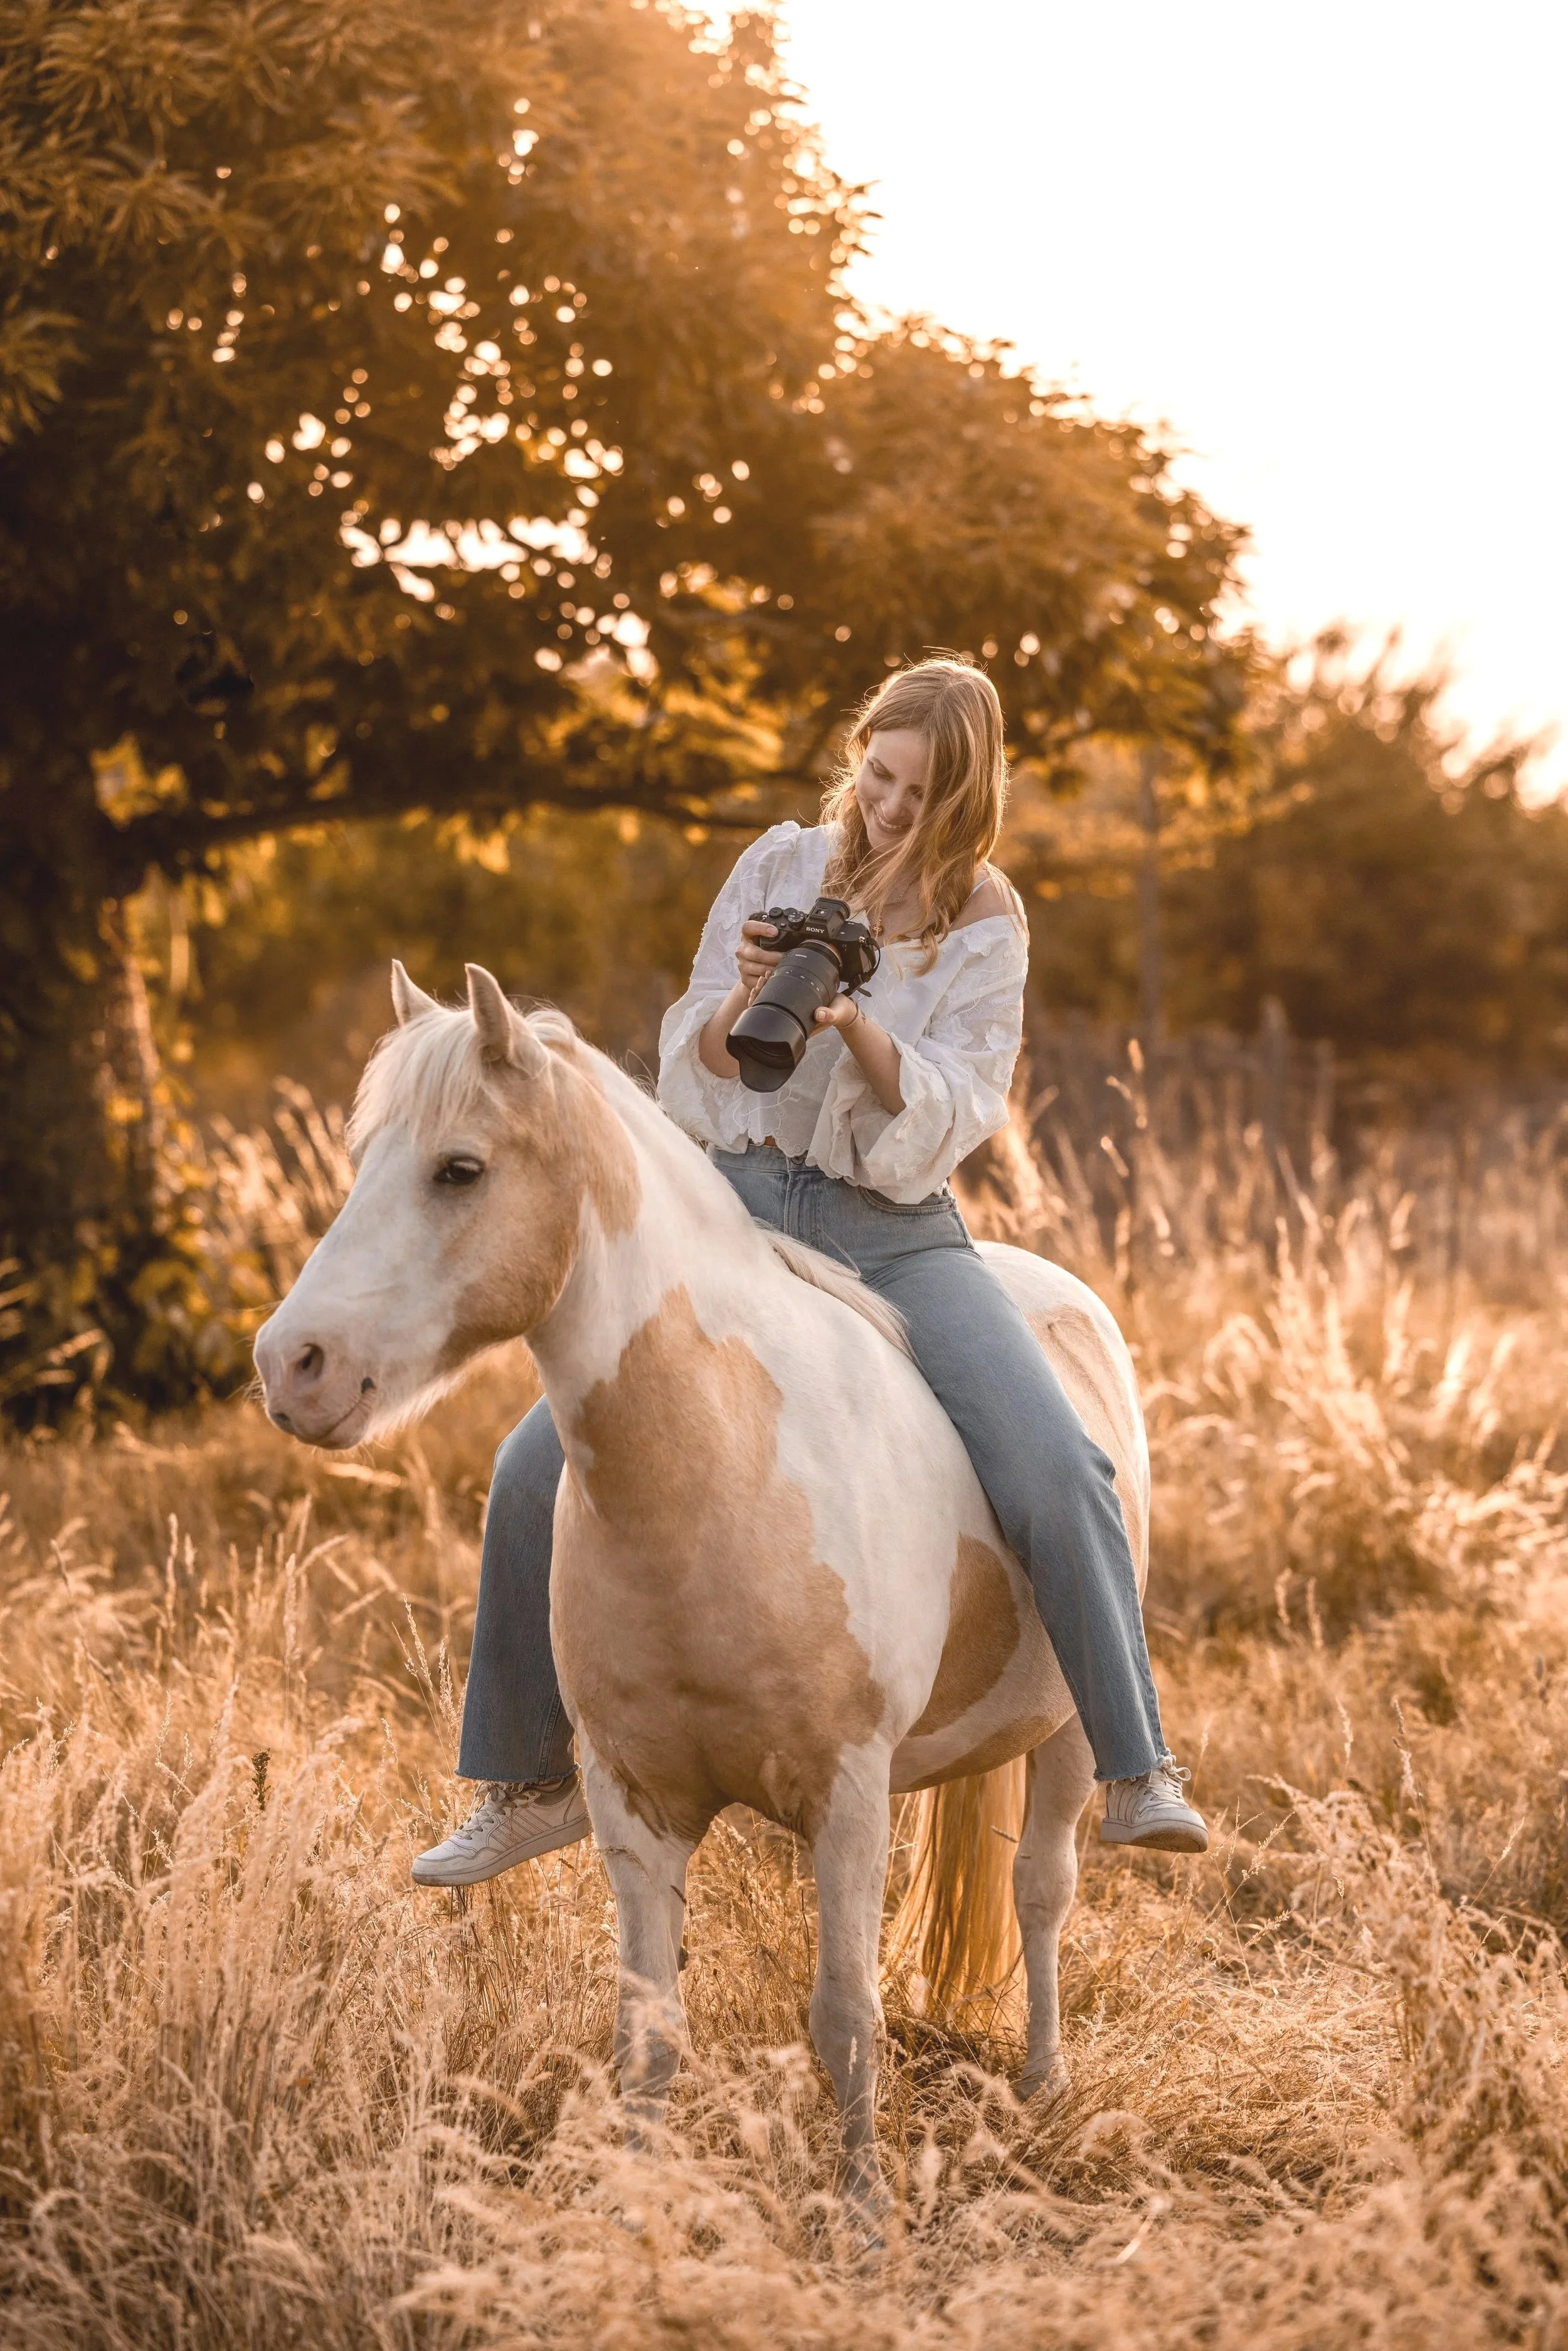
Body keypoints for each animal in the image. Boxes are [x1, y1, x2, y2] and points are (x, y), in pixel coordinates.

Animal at [253, 963, 1151, 2214]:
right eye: (363, 1158)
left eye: (459, 1169)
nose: (292, 1366)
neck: (722, 1467)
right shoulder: (638, 1807)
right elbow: (650, 2034)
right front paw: (638, 2207)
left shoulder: (849, 1796)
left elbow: (846, 2019)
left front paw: (865, 2215)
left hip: (1068, 1731)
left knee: (1042, 1888)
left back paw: (1046, 2081)